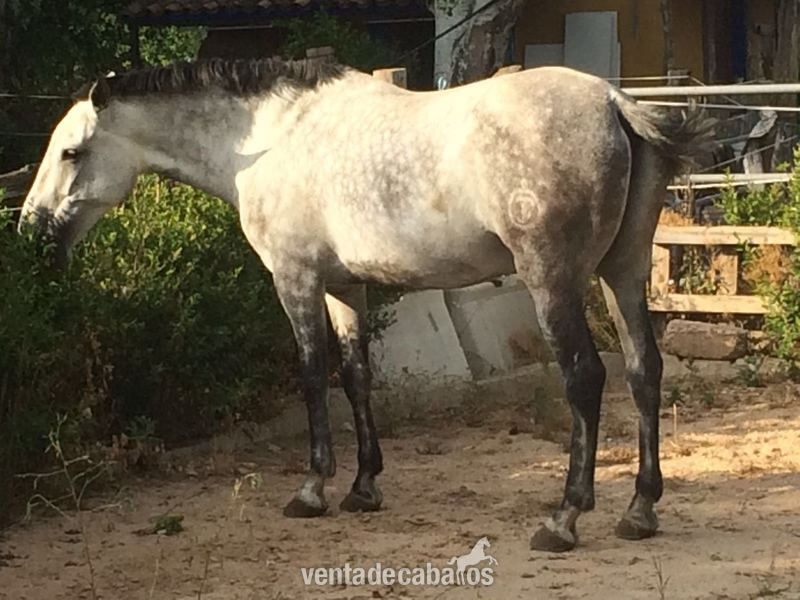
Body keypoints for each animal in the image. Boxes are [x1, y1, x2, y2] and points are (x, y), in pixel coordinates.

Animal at [20, 57, 711, 552]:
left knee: (586, 379)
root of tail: (614, 103)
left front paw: (311, 489)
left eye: (71, 152)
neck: (273, 139)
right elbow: (355, 377)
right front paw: (363, 486)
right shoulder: (343, 288)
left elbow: (311, 378)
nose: (32, 229)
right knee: (643, 371)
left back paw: (564, 519)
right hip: (622, 274)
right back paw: (640, 510)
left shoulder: (295, 281)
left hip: (554, 281)